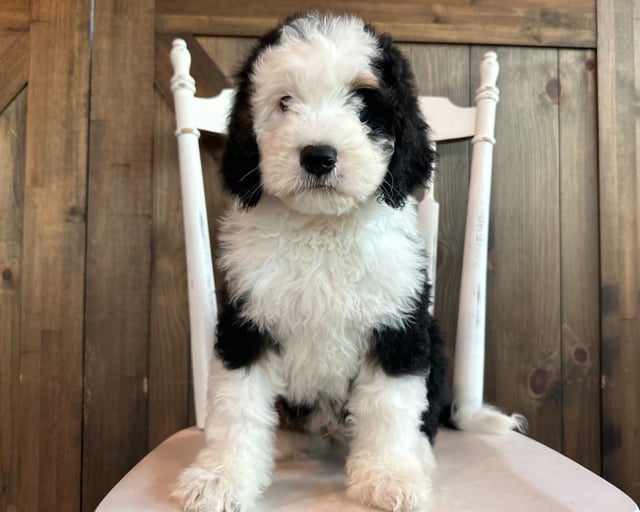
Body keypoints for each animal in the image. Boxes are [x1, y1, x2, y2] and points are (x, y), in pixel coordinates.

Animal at [174, 9, 520, 512]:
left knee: (426, 416)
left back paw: (417, 454)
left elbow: (390, 406)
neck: (323, 228)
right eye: (285, 103)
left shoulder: (397, 325)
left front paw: (389, 477)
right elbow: (235, 405)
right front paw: (220, 479)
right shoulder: (247, 320)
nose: (318, 156)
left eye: (362, 106)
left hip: (432, 339)